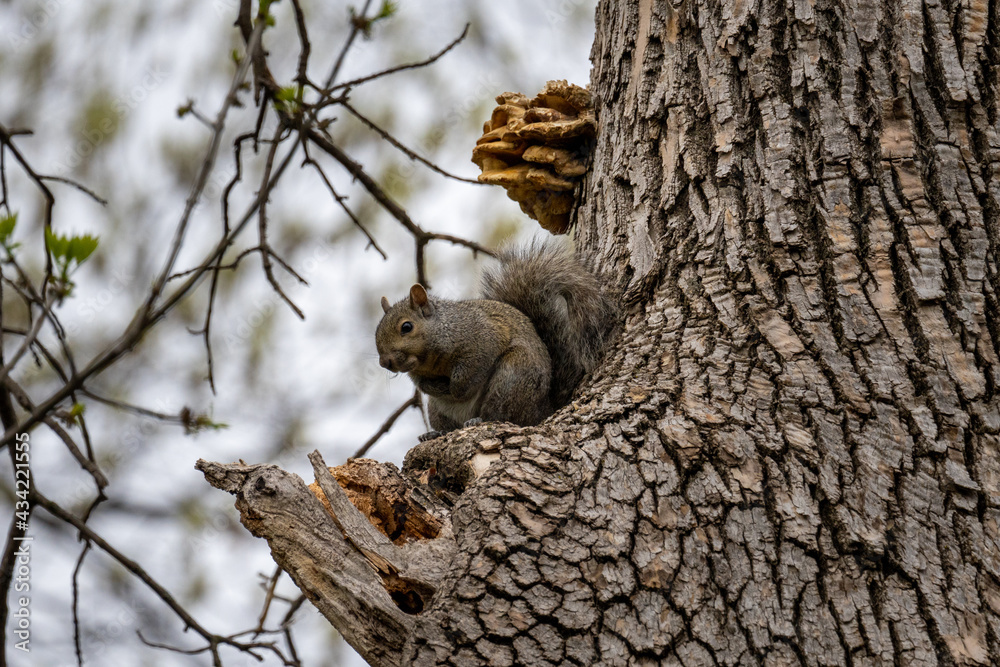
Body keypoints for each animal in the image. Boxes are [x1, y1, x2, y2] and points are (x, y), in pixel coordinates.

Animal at [375, 243, 617, 440]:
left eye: (406, 327)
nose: (384, 362)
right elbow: (423, 384)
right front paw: (439, 387)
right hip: (437, 410)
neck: (431, 358)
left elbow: (471, 373)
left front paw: (456, 389)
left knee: (501, 415)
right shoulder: (418, 374)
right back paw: (435, 433)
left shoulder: (482, 339)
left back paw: (479, 419)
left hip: (512, 378)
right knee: (451, 426)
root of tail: (542, 410)